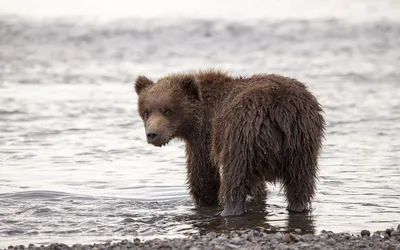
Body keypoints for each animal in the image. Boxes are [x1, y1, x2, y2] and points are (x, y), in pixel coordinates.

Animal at [134, 69, 324, 217]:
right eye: (146, 111)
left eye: (168, 110)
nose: (152, 134)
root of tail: (280, 110)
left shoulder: (205, 135)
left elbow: (203, 174)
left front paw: (206, 200)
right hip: (302, 140)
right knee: (300, 181)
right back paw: (298, 207)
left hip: (241, 134)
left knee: (235, 176)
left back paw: (229, 210)